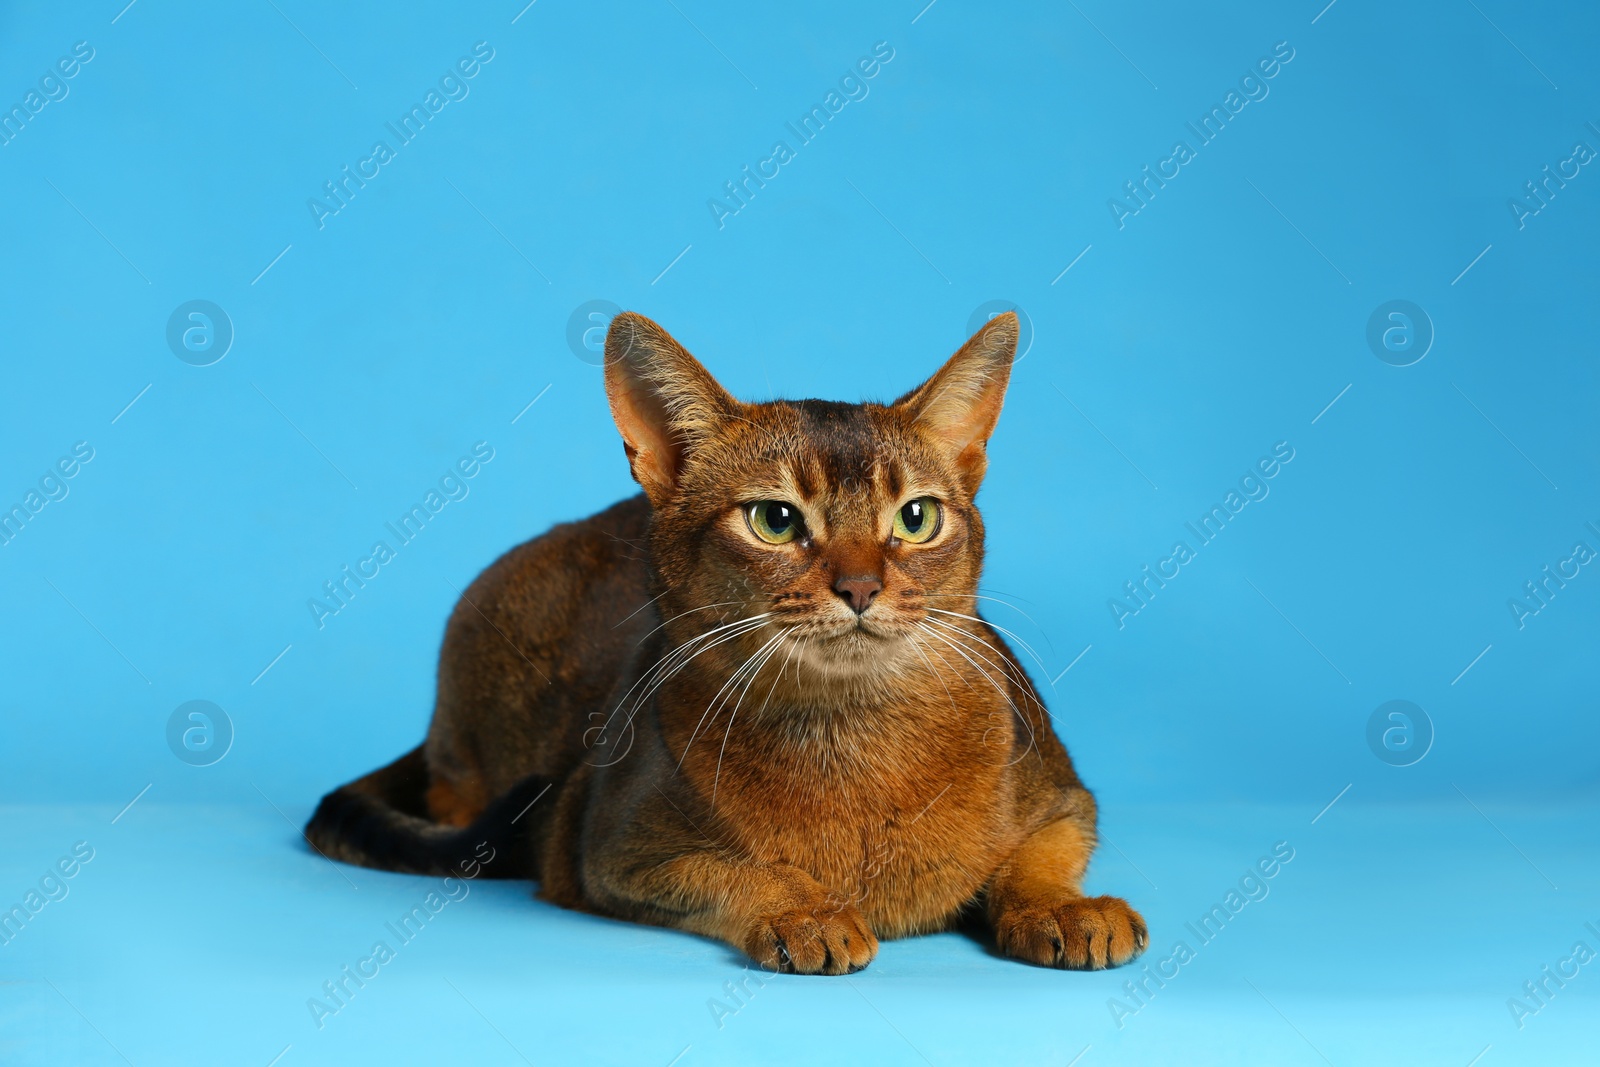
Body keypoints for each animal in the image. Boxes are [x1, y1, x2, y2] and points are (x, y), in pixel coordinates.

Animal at [305, 310, 1145, 979]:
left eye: (916, 518)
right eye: (774, 520)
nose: (861, 587)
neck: (849, 733)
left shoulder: (1066, 797)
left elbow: (1036, 857)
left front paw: (1065, 908)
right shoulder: (609, 851)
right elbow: (738, 869)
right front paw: (806, 912)